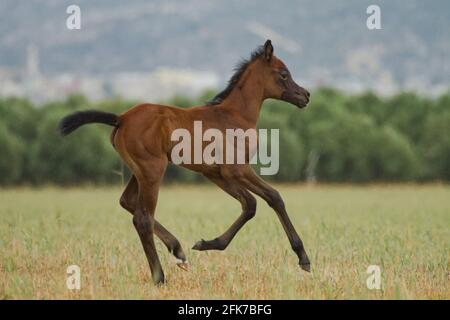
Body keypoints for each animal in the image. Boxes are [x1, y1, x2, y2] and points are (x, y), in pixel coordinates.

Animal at [59, 40, 312, 284]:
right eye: (284, 74)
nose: (305, 95)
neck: (235, 115)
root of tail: (121, 118)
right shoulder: (237, 169)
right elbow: (271, 198)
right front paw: (303, 258)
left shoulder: (217, 174)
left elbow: (251, 203)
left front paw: (206, 244)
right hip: (153, 170)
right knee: (142, 218)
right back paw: (160, 277)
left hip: (139, 172)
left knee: (127, 201)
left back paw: (178, 250)